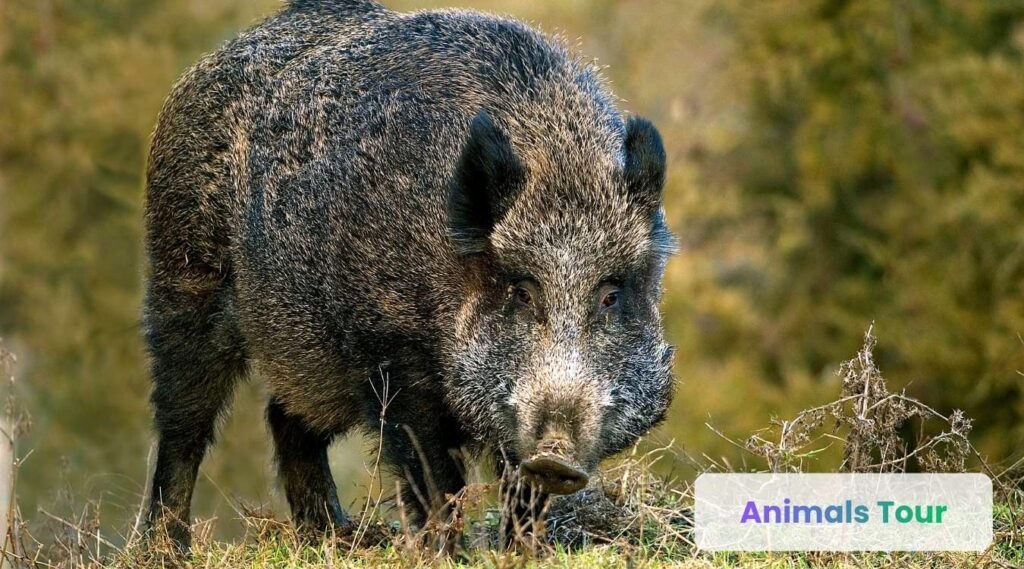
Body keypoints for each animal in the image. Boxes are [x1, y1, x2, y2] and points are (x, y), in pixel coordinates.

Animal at [143, 0, 675, 550]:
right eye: (523, 292)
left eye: (611, 295)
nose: (556, 456)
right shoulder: (390, 353)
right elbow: (433, 476)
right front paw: (444, 551)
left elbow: (520, 492)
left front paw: (524, 551)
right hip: (184, 274)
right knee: (184, 419)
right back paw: (167, 547)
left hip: (306, 345)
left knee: (286, 416)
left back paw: (331, 537)